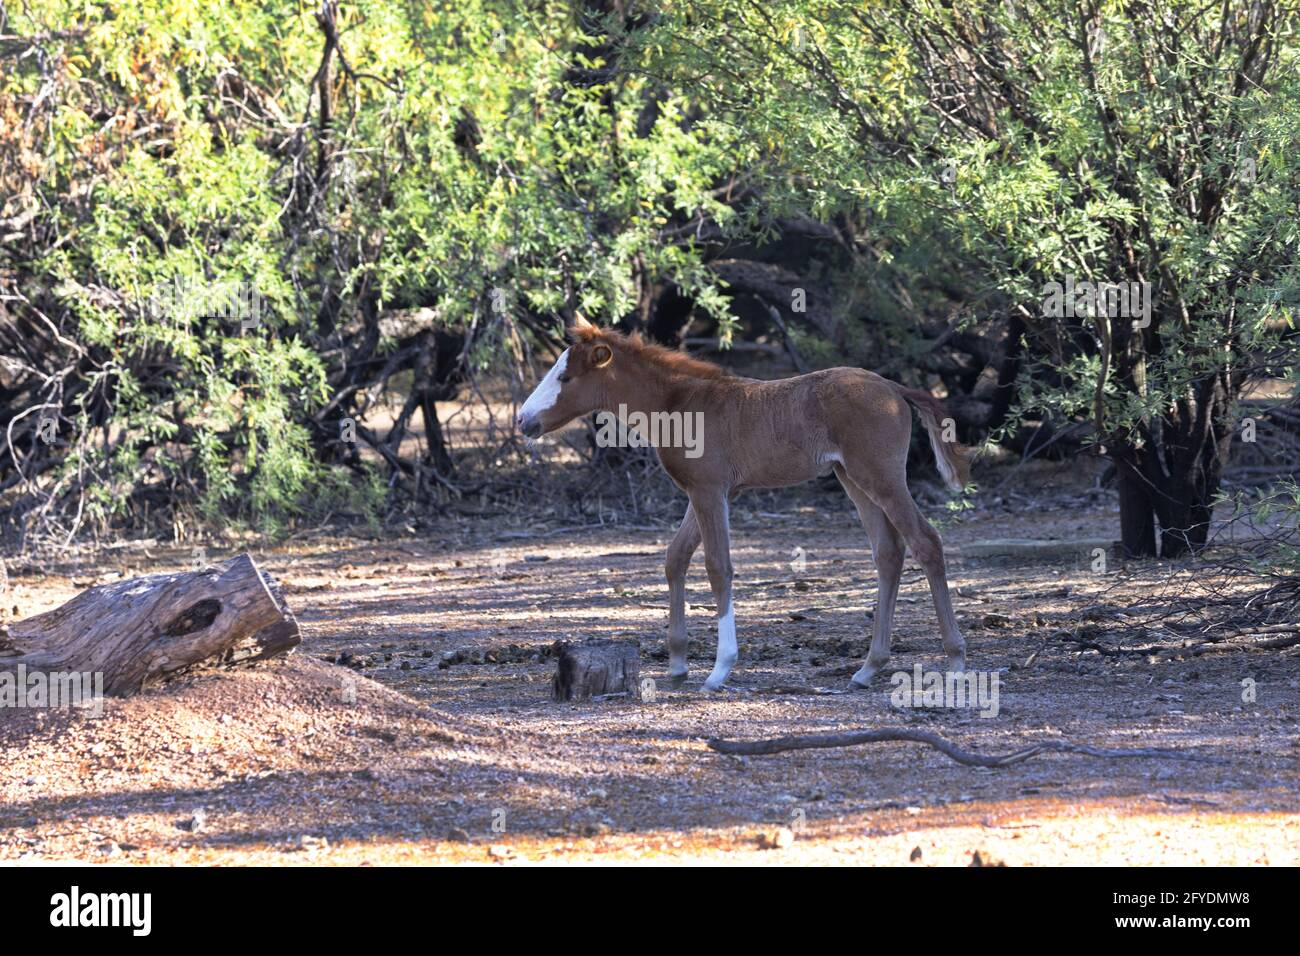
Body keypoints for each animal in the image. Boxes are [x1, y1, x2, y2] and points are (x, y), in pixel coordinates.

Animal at [517, 315, 970, 692]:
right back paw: (868, 668)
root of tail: (894, 387)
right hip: (852, 478)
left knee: (926, 542)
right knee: (889, 553)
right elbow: (675, 558)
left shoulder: (710, 490)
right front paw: (678, 663)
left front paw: (720, 669)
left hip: (881, 476)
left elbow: (718, 568)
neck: (678, 404)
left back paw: (955, 660)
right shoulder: (708, 491)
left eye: (565, 377)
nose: (523, 420)